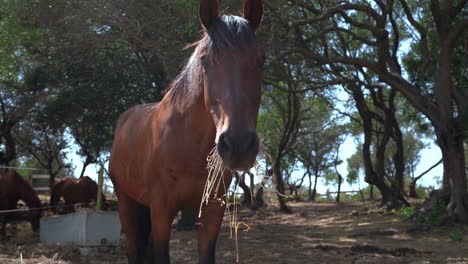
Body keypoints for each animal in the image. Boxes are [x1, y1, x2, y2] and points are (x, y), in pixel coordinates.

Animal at [108, 0, 266, 262]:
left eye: (262, 60)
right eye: (205, 61)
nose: (239, 145)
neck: (188, 143)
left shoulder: (212, 210)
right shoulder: (162, 210)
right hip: (126, 203)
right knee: (133, 249)